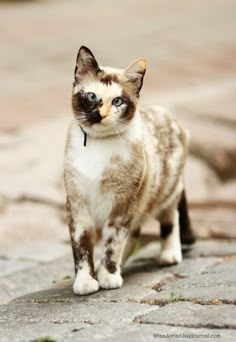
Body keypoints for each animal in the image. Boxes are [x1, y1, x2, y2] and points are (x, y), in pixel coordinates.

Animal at [63, 46, 195, 294]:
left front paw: (108, 276)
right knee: (133, 233)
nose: (101, 114)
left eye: (117, 101)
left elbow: (113, 244)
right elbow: (82, 248)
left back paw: (169, 254)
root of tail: (168, 114)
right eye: (92, 96)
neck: (97, 145)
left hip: (163, 194)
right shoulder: (77, 205)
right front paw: (86, 282)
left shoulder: (122, 204)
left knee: (170, 218)